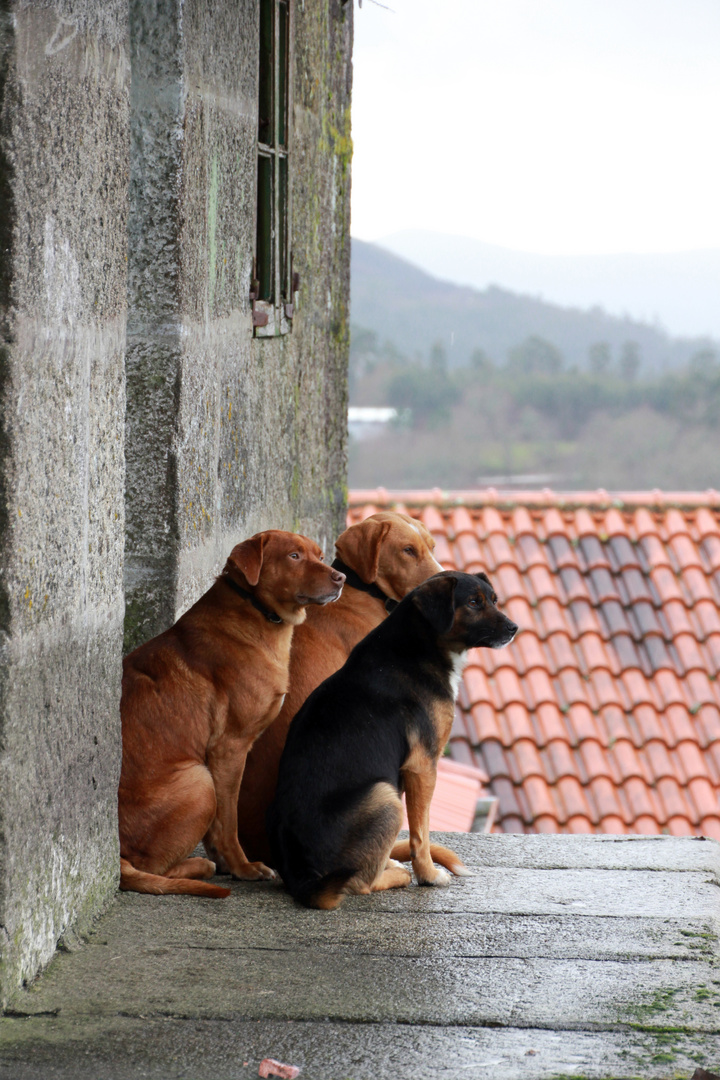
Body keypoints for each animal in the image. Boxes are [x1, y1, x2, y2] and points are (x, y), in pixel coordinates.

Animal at [118, 529, 343, 894]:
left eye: (320, 556)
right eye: (294, 556)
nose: (341, 578)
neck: (256, 612)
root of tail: (115, 860)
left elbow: (217, 828)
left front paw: (228, 864)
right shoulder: (229, 749)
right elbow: (228, 820)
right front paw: (243, 867)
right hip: (200, 780)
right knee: (151, 866)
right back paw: (198, 866)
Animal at [268, 570, 518, 907]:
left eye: (493, 599)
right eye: (474, 602)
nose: (514, 628)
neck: (420, 644)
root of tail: (304, 881)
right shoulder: (422, 766)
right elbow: (421, 833)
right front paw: (429, 875)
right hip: (385, 796)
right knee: (360, 882)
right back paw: (398, 874)